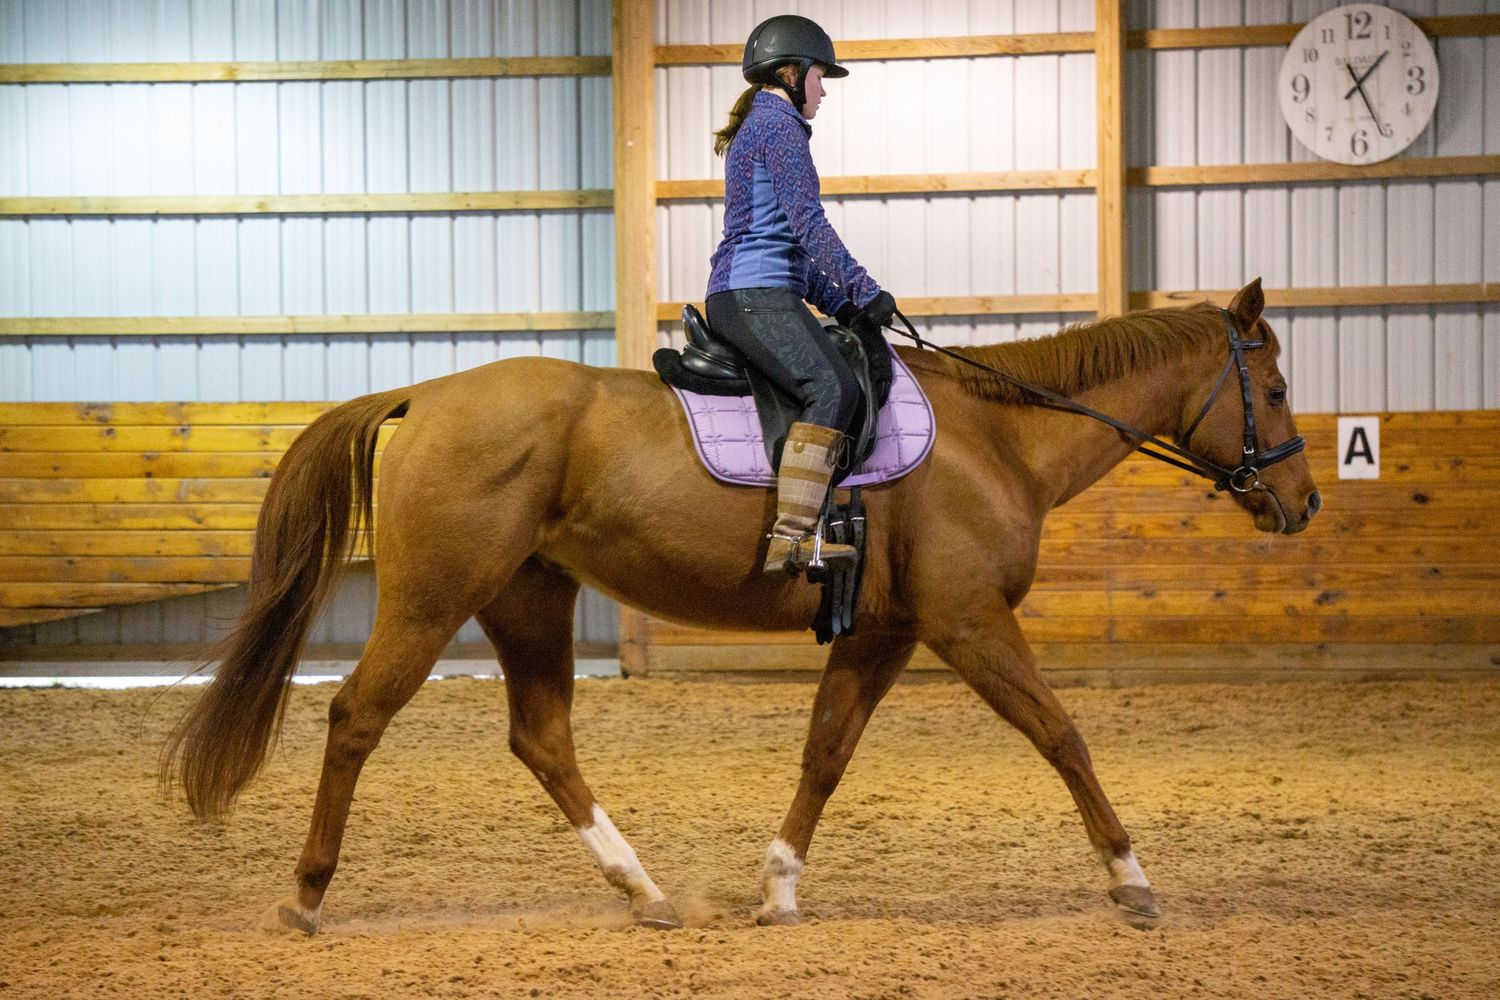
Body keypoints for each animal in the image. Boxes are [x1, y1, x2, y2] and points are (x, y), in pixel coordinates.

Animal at [161, 279, 1319, 934]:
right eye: (1271, 386)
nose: (1302, 502)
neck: (997, 440)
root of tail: (422, 395)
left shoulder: (887, 633)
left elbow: (826, 753)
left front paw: (777, 890)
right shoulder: (968, 622)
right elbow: (1063, 734)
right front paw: (1132, 880)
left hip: (528, 600)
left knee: (542, 738)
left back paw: (646, 893)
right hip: (435, 598)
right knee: (358, 716)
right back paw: (307, 895)